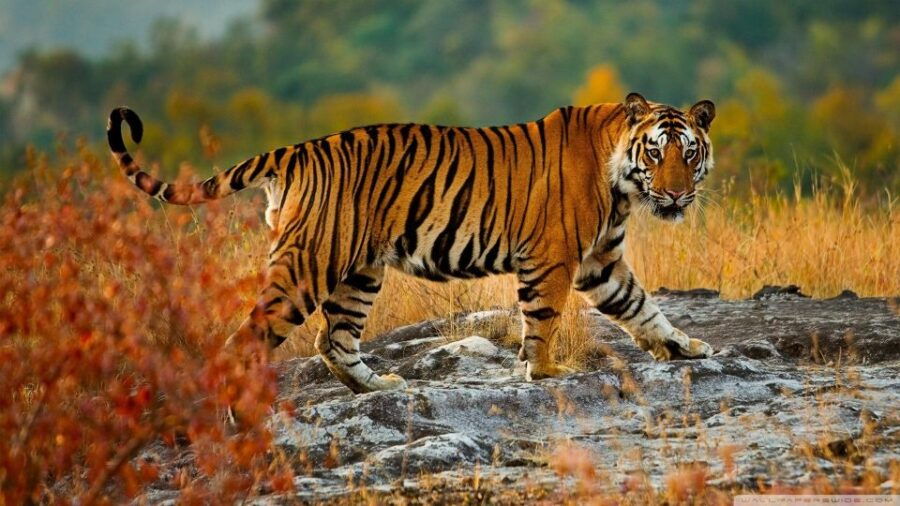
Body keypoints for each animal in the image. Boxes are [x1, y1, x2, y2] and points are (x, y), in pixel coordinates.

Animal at [107, 92, 716, 394]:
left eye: (689, 154)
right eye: (656, 153)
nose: (676, 195)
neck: (622, 185)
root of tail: (296, 150)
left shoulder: (600, 261)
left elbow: (642, 307)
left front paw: (684, 347)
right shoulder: (553, 258)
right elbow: (542, 320)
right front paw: (544, 374)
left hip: (358, 272)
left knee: (334, 340)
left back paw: (378, 386)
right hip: (308, 265)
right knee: (247, 340)